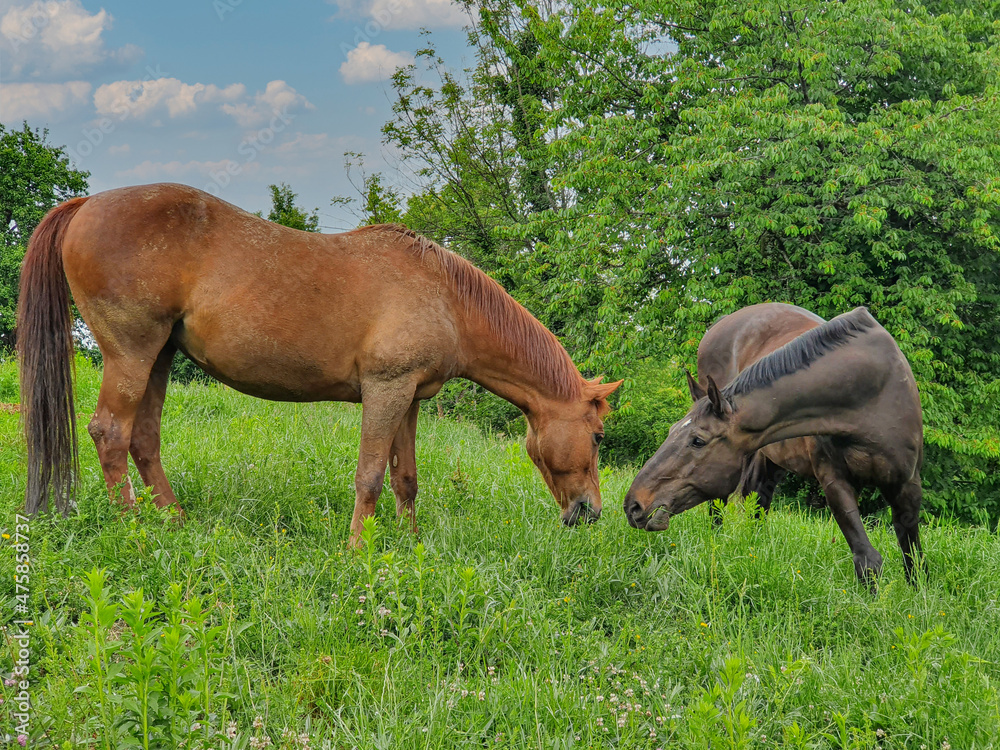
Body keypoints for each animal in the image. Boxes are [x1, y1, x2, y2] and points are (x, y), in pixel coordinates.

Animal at [19, 185, 620, 544]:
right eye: (596, 437)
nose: (590, 511)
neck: (446, 298)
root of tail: (86, 204)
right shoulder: (385, 391)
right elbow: (370, 477)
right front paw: (357, 551)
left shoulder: (408, 398)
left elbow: (406, 479)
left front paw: (409, 545)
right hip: (132, 353)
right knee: (111, 433)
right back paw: (135, 529)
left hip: (160, 356)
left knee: (144, 439)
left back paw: (176, 521)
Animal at [624, 308, 920, 584]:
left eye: (697, 440)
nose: (633, 505)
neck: (867, 389)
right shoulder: (835, 482)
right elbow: (867, 560)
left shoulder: (906, 484)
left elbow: (912, 554)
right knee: (720, 509)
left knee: (759, 502)